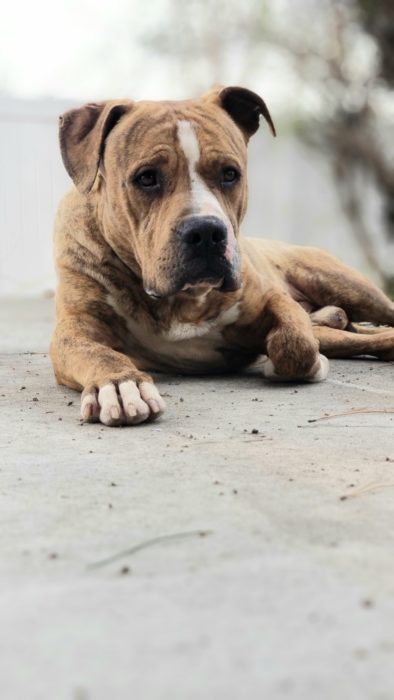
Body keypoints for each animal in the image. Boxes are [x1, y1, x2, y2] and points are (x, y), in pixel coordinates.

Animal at [49, 87, 394, 426]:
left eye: (230, 174)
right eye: (146, 178)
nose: (205, 231)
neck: (181, 303)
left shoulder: (269, 297)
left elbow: (295, 340)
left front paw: (297, 362)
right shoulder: (75, 330)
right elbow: (100, 353)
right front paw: (122, 386)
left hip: (349, 288)